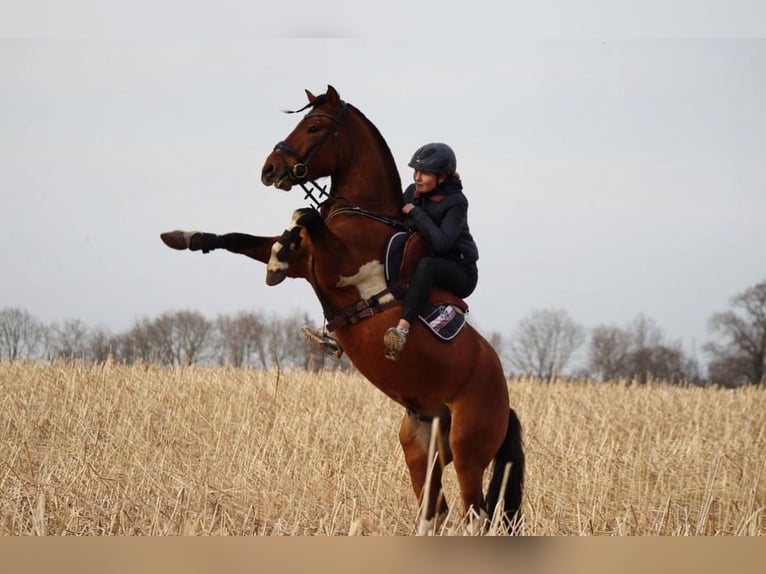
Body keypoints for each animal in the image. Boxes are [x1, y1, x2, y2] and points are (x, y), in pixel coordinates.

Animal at [159, 85, 524, 536]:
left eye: (314, 127)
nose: (269, 169)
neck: (365, 212)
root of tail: (504, 400)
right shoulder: (308, 263)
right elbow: (241, 237)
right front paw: (187, 237)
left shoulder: (341, 268)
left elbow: (305, 216)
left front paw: (277, 259)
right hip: (421, 441)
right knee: (434, 510)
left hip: (469, 450)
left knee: (476, 515)